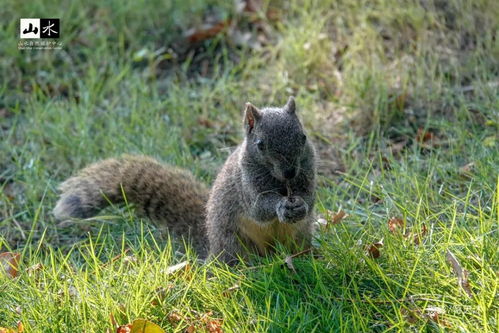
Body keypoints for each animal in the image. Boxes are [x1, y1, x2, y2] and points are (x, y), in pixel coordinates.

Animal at [52, 95, 318, 262]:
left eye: (303, 137)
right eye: (261, 144)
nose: (289, 173)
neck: (279, 182)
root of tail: (213, 249)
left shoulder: (308, 169)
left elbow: (309, 196)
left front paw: (299, 205)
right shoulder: (246, 182)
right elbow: (258, 208)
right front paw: (282, 206)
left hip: (299, 236)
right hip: (234, 241)